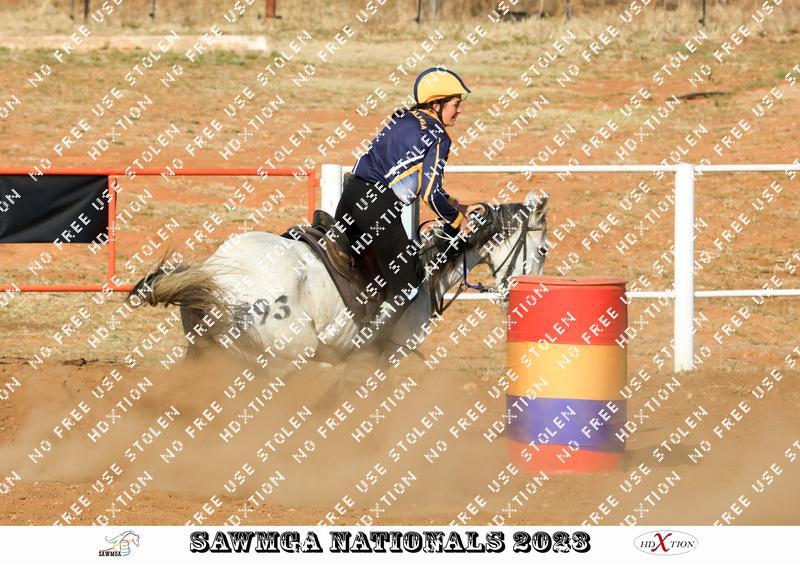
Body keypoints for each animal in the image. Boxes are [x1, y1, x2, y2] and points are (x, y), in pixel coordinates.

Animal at [129, 191, 548, 372]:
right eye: (543, 250)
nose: (524, 296)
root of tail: (218, 274)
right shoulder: (391, 352)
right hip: (285, 359)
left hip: (208, 353)